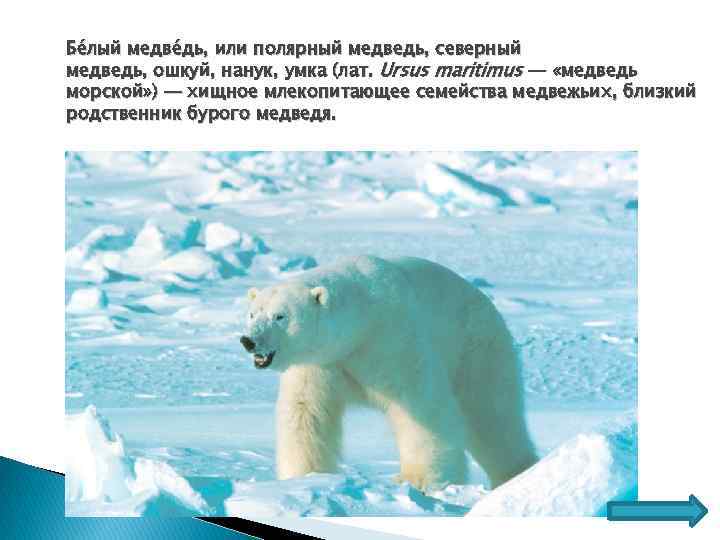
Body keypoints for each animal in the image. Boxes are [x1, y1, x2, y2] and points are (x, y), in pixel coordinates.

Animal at [240, 255, 538, 491]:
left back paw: (517, 475)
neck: (360, 324)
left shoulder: (392, 340)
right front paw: (304, 477)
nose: (248, 341)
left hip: (476, 350)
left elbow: (421, 406)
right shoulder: (320, 363)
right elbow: (306, 411)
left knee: (493, 416)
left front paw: (418, 480)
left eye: (280, 316)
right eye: (253, 314)